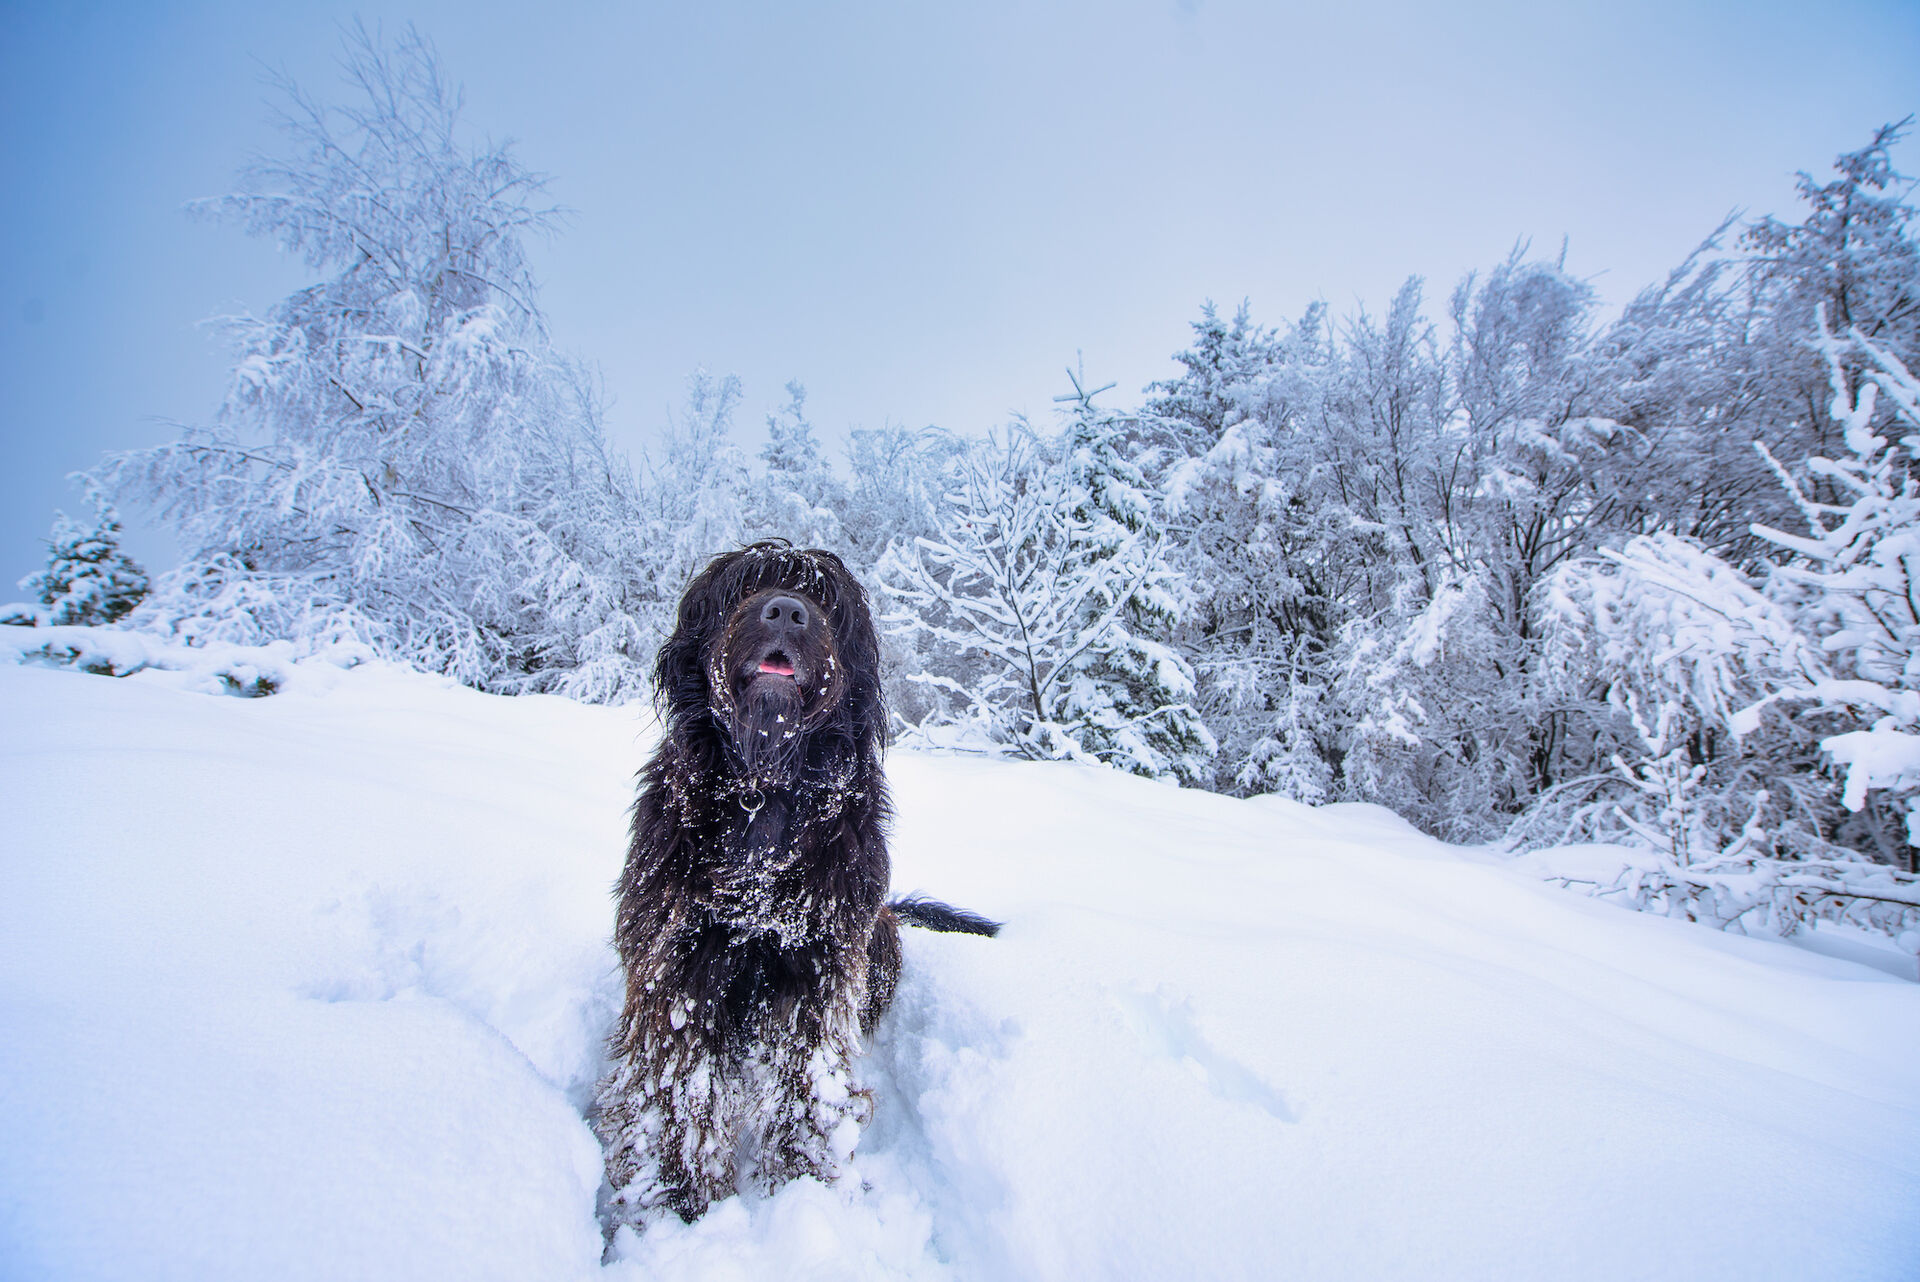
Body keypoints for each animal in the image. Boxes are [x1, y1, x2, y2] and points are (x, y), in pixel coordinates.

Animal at [595, 537, 990, 1220]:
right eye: (747, 584)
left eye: (823, 598)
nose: (784, 612)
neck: (763, 792)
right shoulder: (676, 964)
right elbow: (674, 1088)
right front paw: (676, 1200)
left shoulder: (819, 969)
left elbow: (809, 1085)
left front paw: (807, 1185)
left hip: (878, 943)